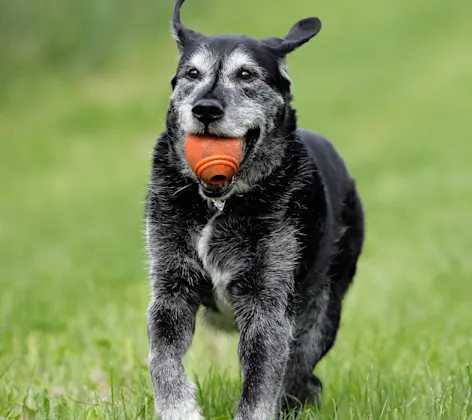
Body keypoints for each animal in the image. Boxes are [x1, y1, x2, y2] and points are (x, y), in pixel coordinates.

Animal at [144, 1, 366, 418]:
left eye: (246, 74)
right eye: (192, 73)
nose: (205, 109)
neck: (219, 203)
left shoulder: (267, 304)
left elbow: (262, 382)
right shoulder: (171, 288)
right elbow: (161, 359)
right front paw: (180, 409)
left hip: (323, 310)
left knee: (301, 372)